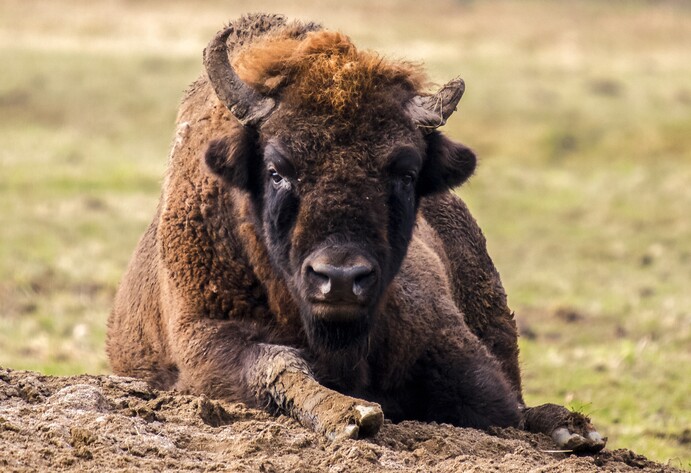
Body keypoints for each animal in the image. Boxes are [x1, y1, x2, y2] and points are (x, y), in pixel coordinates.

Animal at [107, 13, 604, 450]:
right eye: (276, 170)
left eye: (406, 172)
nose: (341, 278)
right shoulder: (204, 339)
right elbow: (276, 363)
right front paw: (351, 413)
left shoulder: (448, 342)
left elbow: (495, 403)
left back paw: (575, 429)